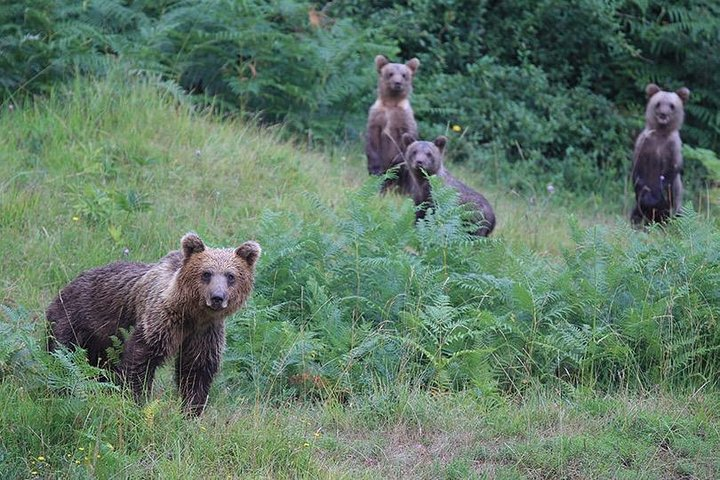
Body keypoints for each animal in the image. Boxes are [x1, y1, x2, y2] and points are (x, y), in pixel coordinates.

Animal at [46, 233, 261, 415]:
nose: (217, 297)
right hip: (75, 322)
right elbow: (140, 359)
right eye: (206, 273)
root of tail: (65, 287)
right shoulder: (161, 320)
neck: (192, 314)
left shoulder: (205, 332)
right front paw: (136, 400)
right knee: (62, 359)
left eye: (230, 276)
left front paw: (190, 410)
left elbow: (197, 369)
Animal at [365, 54, 420, 194]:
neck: (391, 102)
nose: (397, 83)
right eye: (390, 73)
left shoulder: (404, 118)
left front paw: (396, 162)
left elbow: (407, 137)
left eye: (404, 74)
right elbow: (372, 139)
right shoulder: (377, 116)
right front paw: (375, 167)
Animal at [630, 83, 690, 226]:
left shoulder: (672, 149)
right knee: (635, 214)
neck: (660, 134)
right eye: (658, 103)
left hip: (676, 208)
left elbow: (669, 174)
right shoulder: (644, 145)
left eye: (672, 105)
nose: (663, 114)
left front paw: (655, 200)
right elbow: (638, 173)